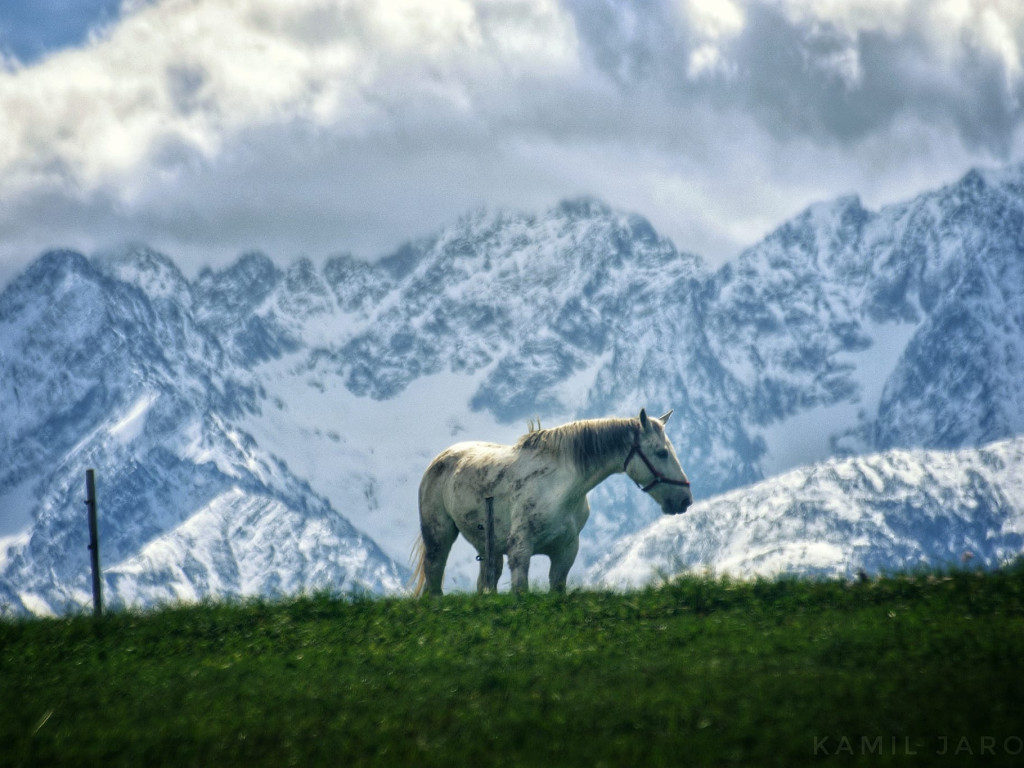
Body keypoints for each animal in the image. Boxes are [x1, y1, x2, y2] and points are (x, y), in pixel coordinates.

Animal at [411, 411, 692, 598]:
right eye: (661, 453)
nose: (685, 500)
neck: (560, 488)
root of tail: (443, 456)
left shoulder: (565, 552)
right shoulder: (520, 551)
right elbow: (520, 592)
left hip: (488, 547)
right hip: (439, 538)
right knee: (434, 580)